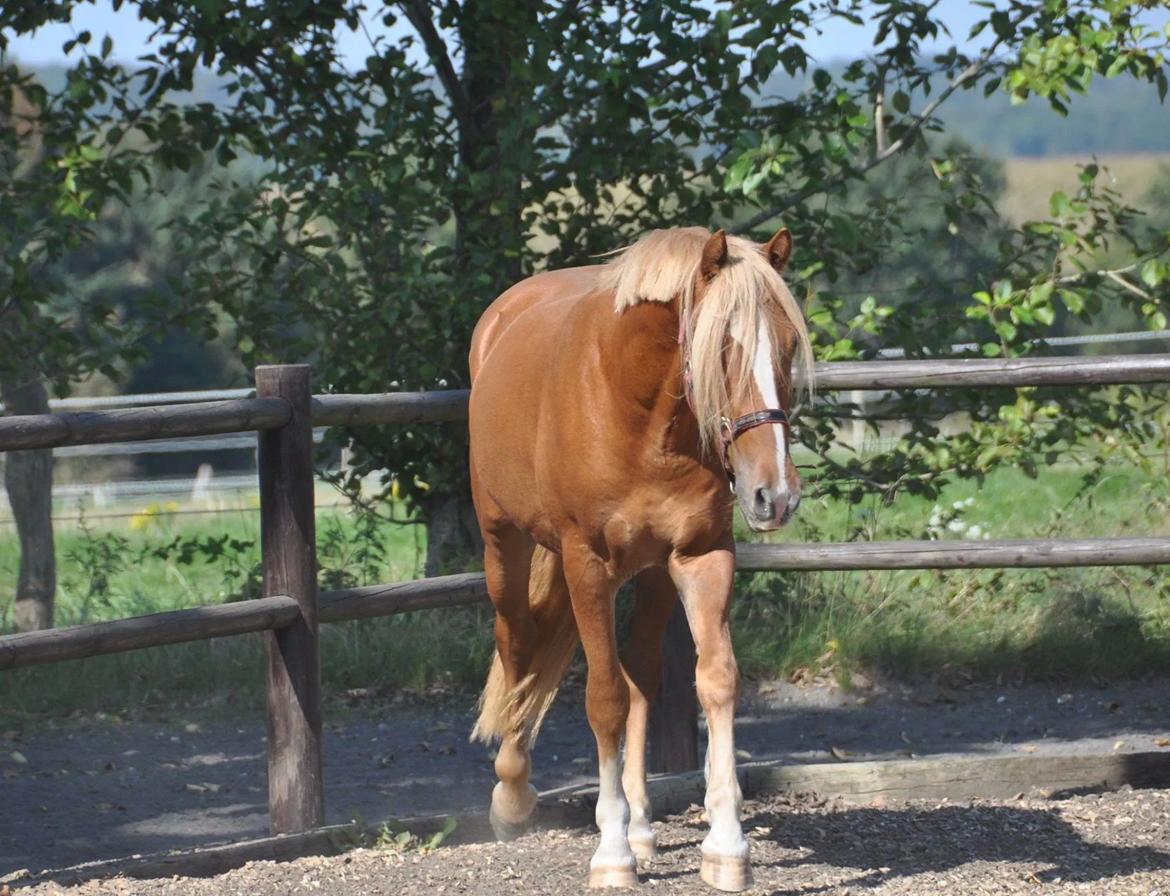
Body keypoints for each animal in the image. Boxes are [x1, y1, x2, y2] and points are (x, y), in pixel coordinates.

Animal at [465, 226, 814, 888]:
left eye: (787, 345)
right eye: (722, 344)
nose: (774, 494)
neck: (638, 413)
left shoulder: (703, 556)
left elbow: (715, 681)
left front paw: (725, 847)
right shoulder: (586, 565)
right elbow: (604, 700)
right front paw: (611, 855)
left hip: (653, 576)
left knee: (642, 675)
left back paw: (642, 825)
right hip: (505, 545)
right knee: (518, 644)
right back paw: (512, 796)